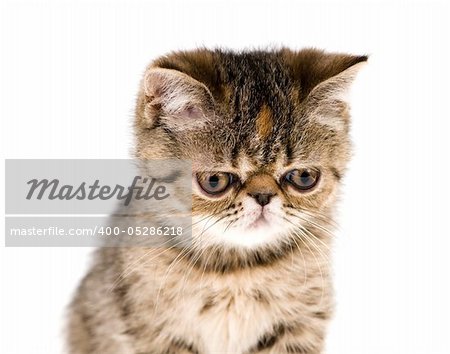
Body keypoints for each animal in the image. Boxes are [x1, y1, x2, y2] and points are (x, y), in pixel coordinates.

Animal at [68, 47, 368, 354]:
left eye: (303, 177)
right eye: (214, 181)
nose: (263, 196)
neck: (236, 269)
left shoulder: (300, 325)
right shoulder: (156, 329)